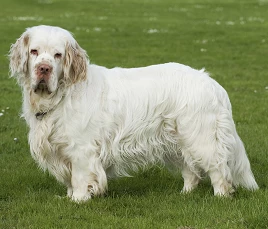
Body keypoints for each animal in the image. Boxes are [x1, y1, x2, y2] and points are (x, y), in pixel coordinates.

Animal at [8, 24, 258, 201]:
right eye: (34, 51)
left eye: (58, 55)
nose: (43, 69)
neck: (61, 95)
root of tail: (211, 82)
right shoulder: (61, 149)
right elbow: (70, 179)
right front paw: (68, 197)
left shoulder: (81, 149)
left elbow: (79, 177)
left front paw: (78, 199)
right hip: (176, 141)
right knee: (191, 171)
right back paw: (184, 194)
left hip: (201, 137)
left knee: (218, 169)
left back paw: (221, 196)